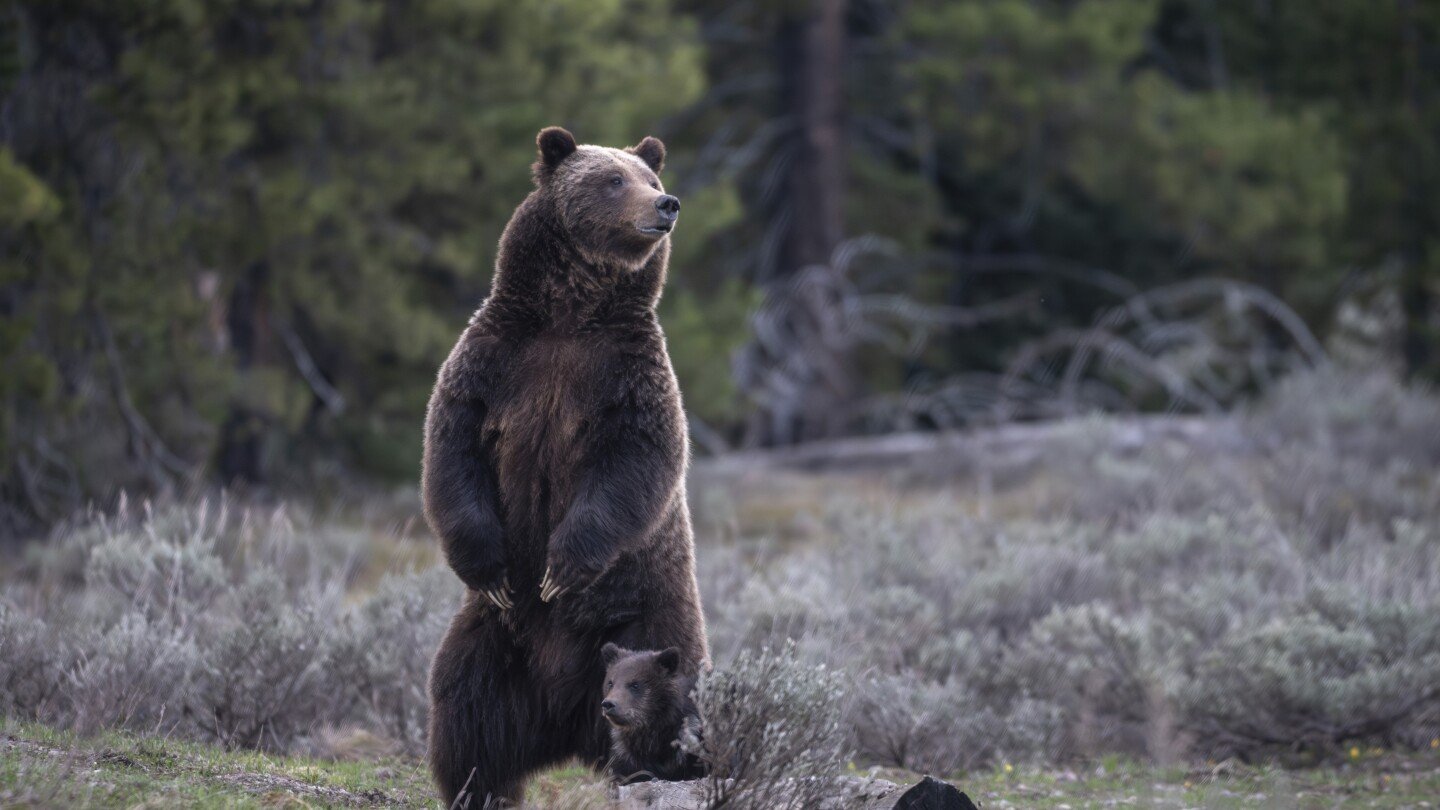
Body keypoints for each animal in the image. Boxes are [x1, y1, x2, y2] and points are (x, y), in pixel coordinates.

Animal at [420, 128, 705, 801]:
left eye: (650, 179)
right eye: (613, 180)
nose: (667, 205)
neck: (569, 315)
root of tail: (564, 720)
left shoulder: (628, 377)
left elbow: (635, 465)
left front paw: (561, 567)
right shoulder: (495, 362)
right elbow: (453, 452)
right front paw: (494, 568)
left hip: (649, 621)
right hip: (496, 641)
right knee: (465, 711)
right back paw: (475, 790)